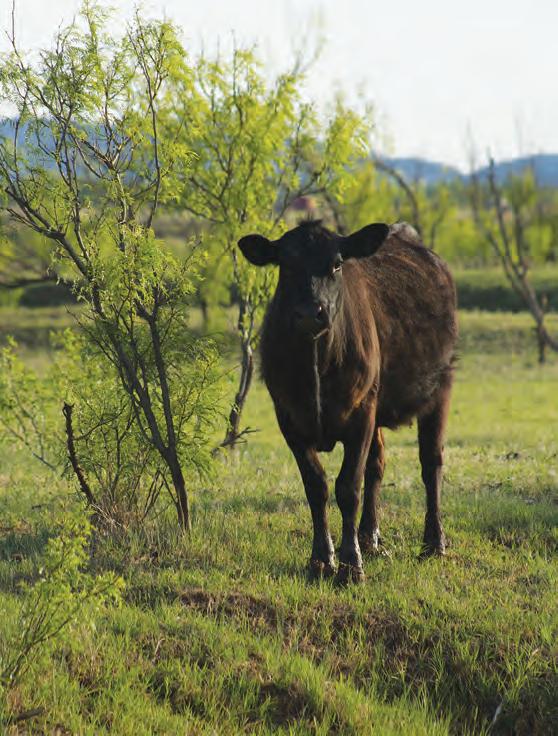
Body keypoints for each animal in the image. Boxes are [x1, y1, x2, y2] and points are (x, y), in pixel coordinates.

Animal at [238, 220, 458, 584]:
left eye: (337, 263)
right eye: (286, 264)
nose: (310, 313)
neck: (316, 364)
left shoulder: (360, 415)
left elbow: (348, 487)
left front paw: (350, 565)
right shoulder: (288, 418)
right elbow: (316, 486)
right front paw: (321, 559)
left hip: (440, 389)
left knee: (431, 463)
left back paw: (433, 543)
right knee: (377, 465)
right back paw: (370, 538)